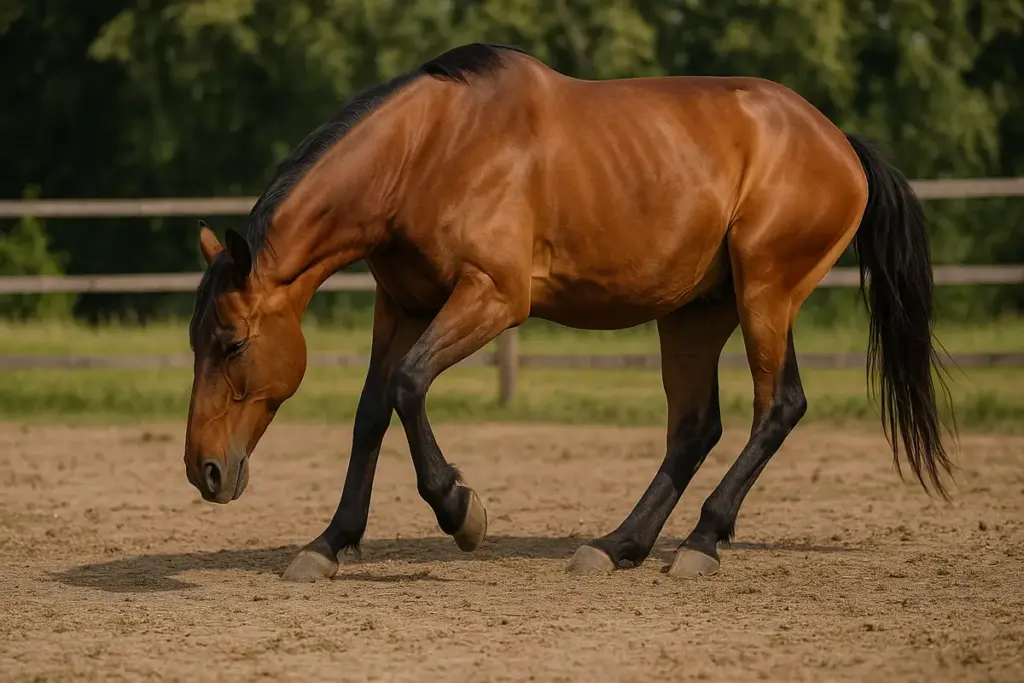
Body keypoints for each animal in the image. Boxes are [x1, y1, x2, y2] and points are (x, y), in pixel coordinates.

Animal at [185, 43, 956, 582]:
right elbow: (372, 409)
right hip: (695, 313)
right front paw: (329, 543)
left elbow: (407, 386)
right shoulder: (402, 303)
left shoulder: (493, 296)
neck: (427, 153)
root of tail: (840, 142)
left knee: (778, 406)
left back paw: (701, 542)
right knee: (695, 427)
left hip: (766, 291)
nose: (204, 472)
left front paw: (461, 510)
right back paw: (618, 546)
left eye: (232, 343)